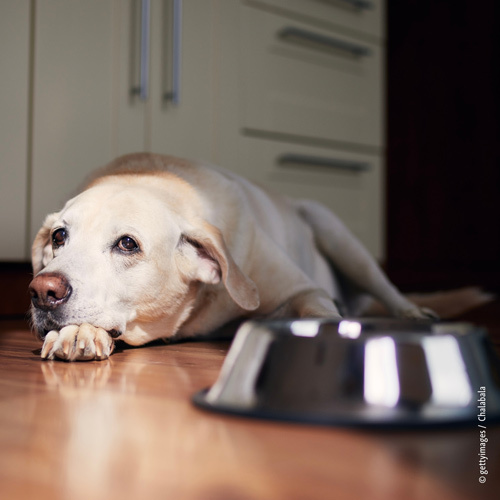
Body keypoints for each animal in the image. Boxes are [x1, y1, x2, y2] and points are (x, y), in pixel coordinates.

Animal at [29, 152, 440, 360]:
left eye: (127, 244)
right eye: (59, 236)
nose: (43, 291)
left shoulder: (302, 290)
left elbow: (317, 311)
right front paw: (78, 333)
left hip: (336, 233)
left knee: (386, 288)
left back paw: (413, 312)